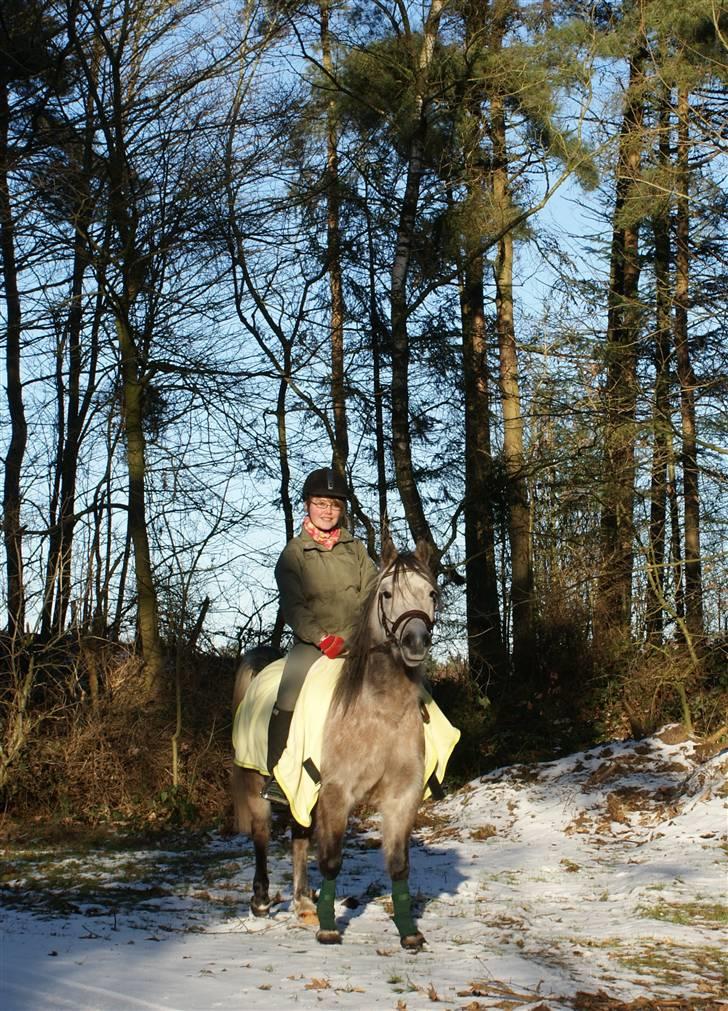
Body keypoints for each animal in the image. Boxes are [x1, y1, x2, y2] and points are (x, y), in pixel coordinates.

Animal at [231, 539, 440, 949]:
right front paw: (329, 928)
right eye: (387, 593)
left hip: (299, 788)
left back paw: (302, 903)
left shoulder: (402, 795)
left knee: (298, 835)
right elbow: (331, 859)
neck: (379, 710)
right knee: (262, 836)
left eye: (431, 593)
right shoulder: (336, 793)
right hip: (253, 781)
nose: (415, 642)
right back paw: (262, 900)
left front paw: (409, 932)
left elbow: (398, 864)